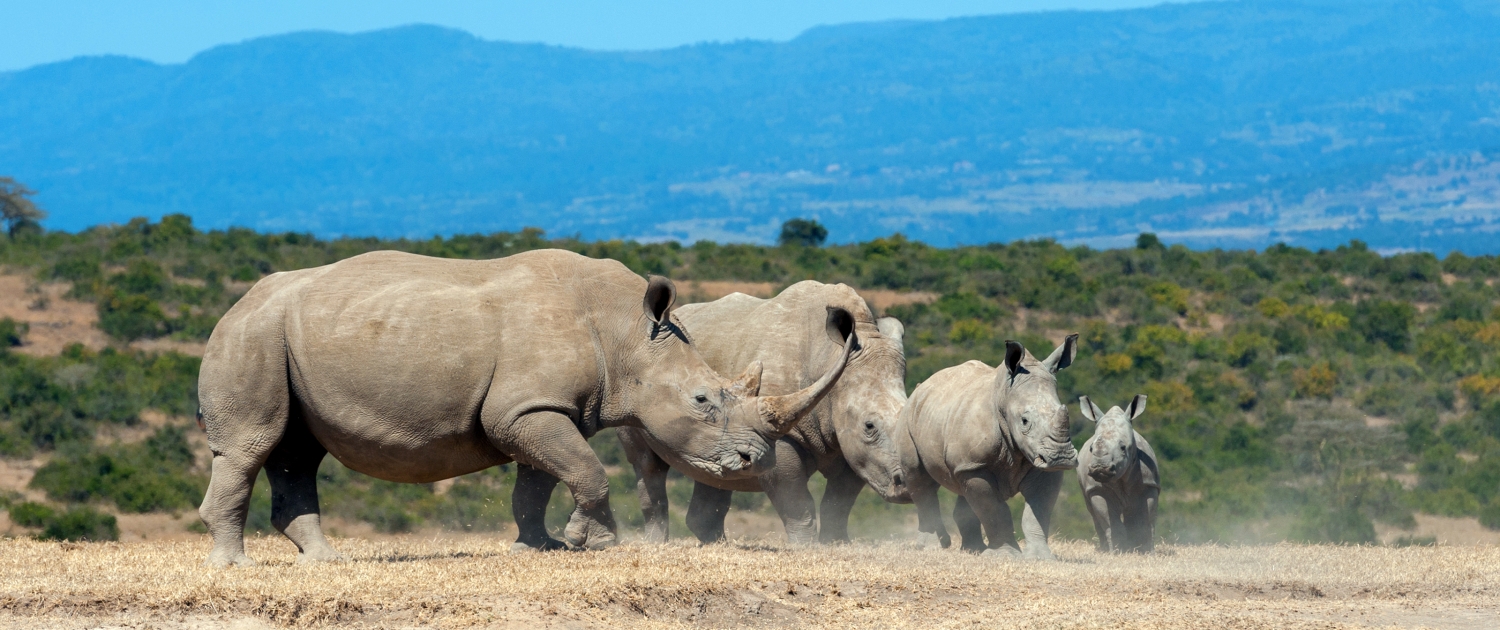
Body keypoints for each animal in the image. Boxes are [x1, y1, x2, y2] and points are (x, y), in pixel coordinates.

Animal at [195, 249, 855, 567]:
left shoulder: (541, 409)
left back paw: (324, 561)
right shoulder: (525, 410)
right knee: (253, 446)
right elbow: (585, 469)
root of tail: (237, 302)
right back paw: (235, 567)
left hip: (284, 338)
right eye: (703, 401)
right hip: (251, 335)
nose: (751, 460)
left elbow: (537, 482)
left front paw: (544, 547)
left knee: (297, 454)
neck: (627, 333)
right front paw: (596, 542)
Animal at [617, 281, 910, 544]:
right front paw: (805, 547)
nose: (907, 485)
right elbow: (797, 503)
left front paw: (837, 544)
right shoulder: (777, 434)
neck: (829, 358)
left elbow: (839, 502)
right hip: (638, 381)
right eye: (869, 426)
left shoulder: (850, 446)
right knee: (647, 463)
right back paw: (657, 544)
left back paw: (718, 545)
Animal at [901, 336, 1079, 558]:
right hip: (909, 418)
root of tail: (922, 386)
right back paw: (932, 548)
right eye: (1024, 421)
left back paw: (973, 550)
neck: (1003, 397)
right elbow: (994, 509)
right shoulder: (976, 465)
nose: (1061, 457)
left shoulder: (1041, 464)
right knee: (920, 479)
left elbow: (1038, 511)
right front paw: (1006, 555)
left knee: (962, 490)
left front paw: (1040, 557)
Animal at [1077, 395, 1159, 553]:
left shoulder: (1149, 485)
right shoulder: (1097, 489)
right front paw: (1117, 550)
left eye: (1122, 447)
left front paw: (1143, 551)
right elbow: (1110, 522)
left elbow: (1142, 521)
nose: (1100, 468)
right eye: (1091, 448)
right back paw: (1105, 549)